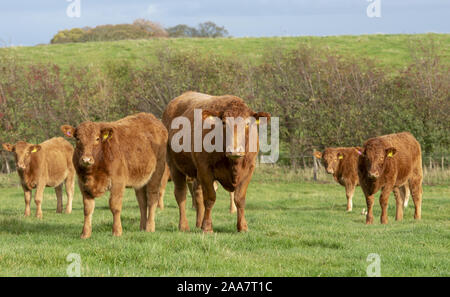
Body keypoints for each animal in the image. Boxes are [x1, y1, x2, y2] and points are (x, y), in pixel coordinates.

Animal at [163, 91, 270, 232]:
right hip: (174, 166)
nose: (234, 151)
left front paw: (242, 227)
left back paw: (198, 223)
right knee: (181, 194)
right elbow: (210, 198)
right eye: (224, 123)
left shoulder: (249, 169)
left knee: (197, 194)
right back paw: (184, 226)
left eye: (247, 124)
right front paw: (207, 227)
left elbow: (239, 198)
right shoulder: (205, 169)